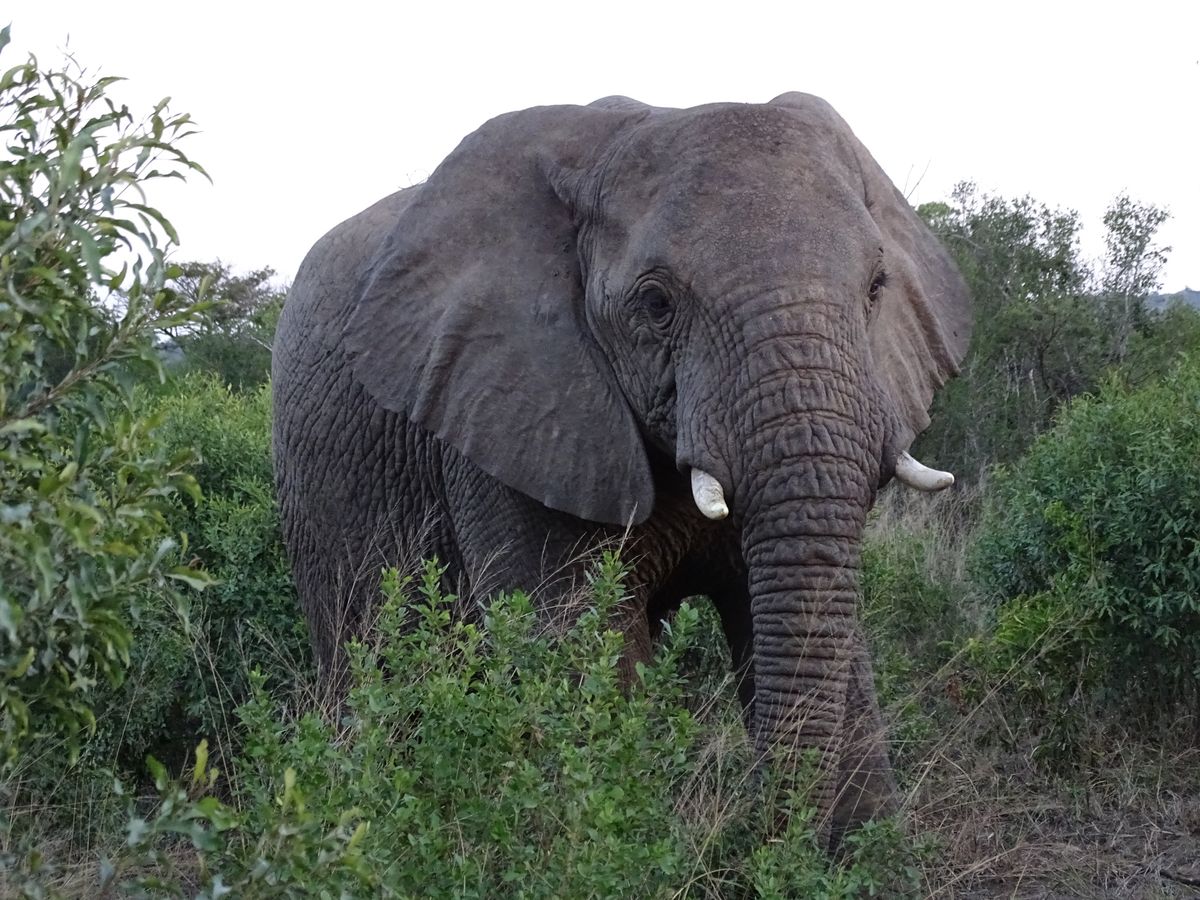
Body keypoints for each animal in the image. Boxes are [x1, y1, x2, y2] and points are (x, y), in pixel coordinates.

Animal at [271, 92, 970, 847]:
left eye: (877, 287)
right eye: (656, 304)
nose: (752, 833)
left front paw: (869, 853)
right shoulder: (511, 409)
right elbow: (578, 643)